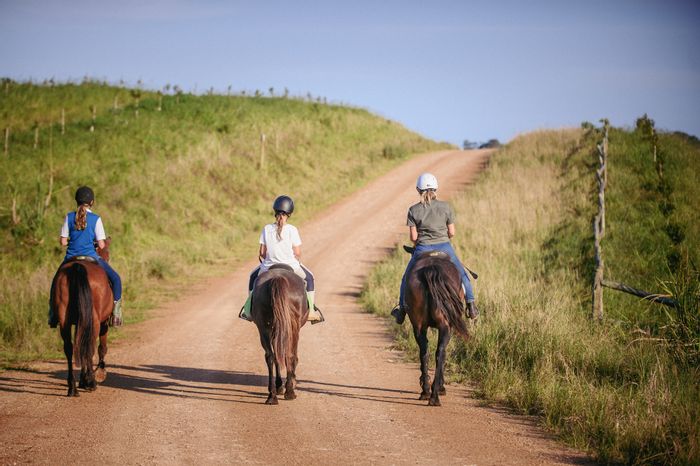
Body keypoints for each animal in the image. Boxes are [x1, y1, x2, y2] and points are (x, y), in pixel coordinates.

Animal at [50, 239, 114, 397]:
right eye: (107, 253)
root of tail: (77, 267)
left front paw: (83, 379)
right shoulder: (103, 323)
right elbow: (101, 347)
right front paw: (99, 373)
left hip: (65, 322)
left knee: (69, 348)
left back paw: (72, 387)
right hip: (95, 321)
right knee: (89, 346)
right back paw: (91, 383)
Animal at [251, 264, 309, 405]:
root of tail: (277, 278)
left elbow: (277, 356)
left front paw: (279, 386)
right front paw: (289, 383)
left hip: (264, 327)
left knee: (271, 356)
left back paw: (272, 396)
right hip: (292, 328)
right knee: (290, 355)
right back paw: (290, 392)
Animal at [404, 251, 470, 406]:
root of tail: (431, 268)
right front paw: (441, 386)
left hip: (419, 326)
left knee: (424, 352)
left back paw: (426, 392)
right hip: (446, 326)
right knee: (440, 352)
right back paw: (435, 395)